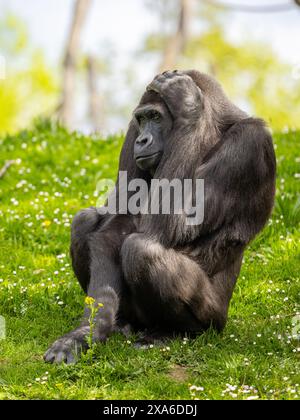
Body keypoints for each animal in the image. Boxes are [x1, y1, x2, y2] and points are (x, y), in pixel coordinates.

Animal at [44, 70, 276, 362]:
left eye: (156, 117)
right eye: (142, 120)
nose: (143, 140)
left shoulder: (248, 142)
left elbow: (175, 221)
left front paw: (188, 107)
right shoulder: (130, 132)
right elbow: (116, 225)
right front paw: (87, 331)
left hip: (215, 320)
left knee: (141, 249)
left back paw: (176, 331)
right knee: (83, 222)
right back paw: (122, 323)